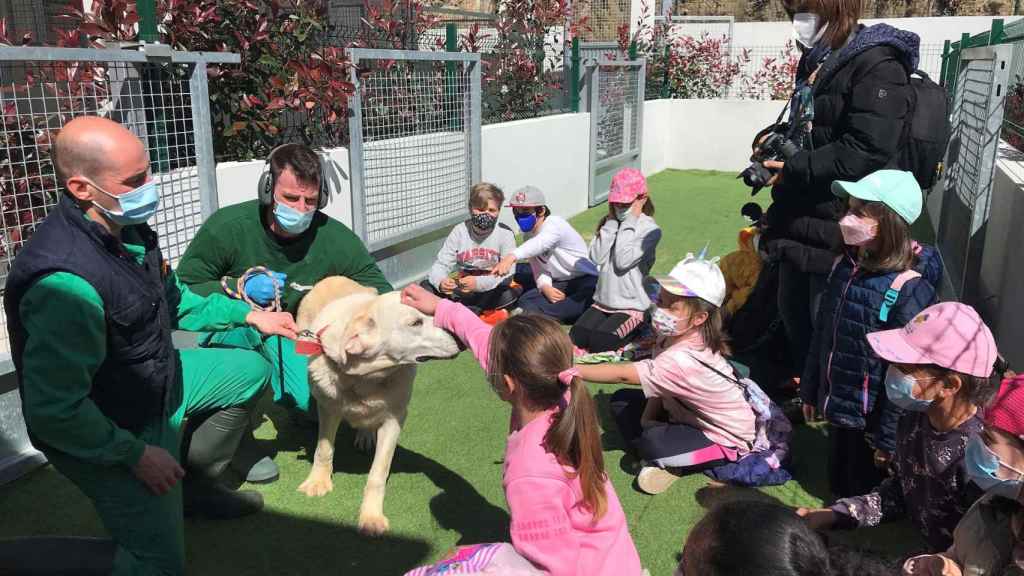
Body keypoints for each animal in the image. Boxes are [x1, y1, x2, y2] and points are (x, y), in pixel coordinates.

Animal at [294, 276, 458, 532]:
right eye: (415, 322)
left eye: (433, 311)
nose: (460, 337)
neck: (364, 378)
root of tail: (332, 278)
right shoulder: (328, 408)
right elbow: (324, 449)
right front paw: (317, 482)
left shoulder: (394, 419)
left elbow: (378, 474)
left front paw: (371, 516)